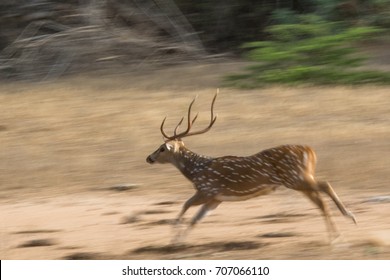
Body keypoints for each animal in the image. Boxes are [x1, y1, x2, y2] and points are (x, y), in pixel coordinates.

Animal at [146, 93, 356, 242]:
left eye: (162, 148)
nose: (149, 158)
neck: (195, 171)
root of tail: (310, 151)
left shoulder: (207, 189)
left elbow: (185, 206)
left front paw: (173, 236)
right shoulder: (216, 199)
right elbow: (196, 219)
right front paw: (178, 241)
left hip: (295, 177)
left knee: (325, 187)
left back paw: (346, 223)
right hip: (300, 179)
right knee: (320, 199)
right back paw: (338, 232)